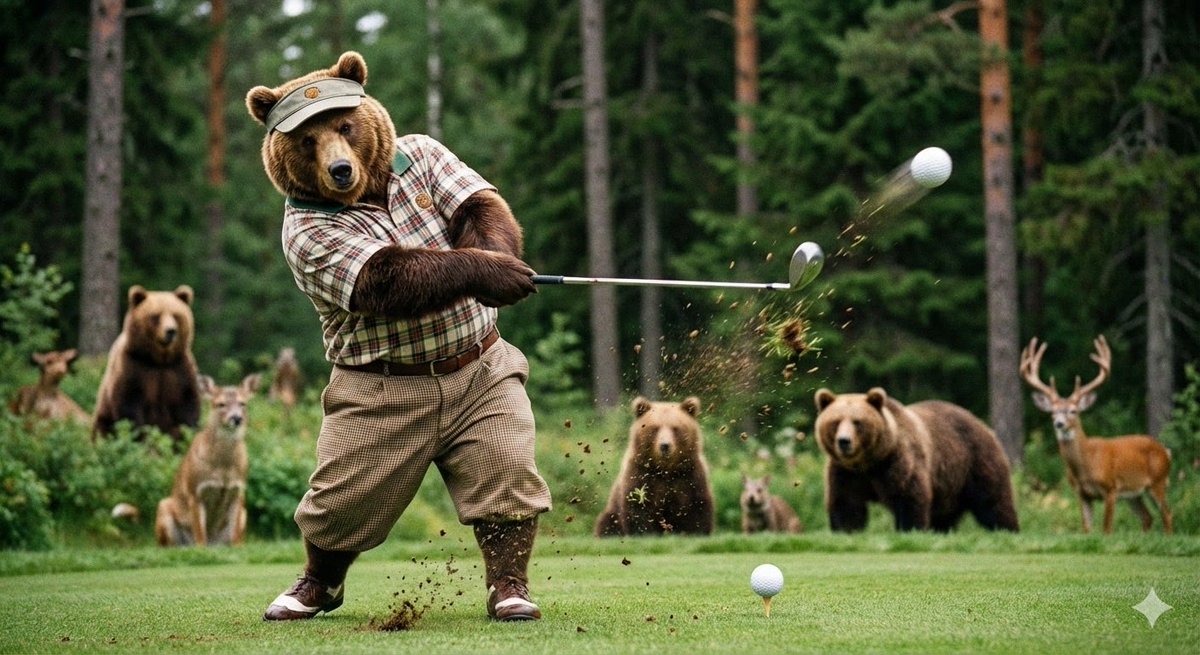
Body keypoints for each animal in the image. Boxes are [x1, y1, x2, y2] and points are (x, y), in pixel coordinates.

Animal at [92, 285, 201, 448]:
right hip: (103, 419)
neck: (158, 360)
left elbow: (187, 404)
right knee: (104, 433)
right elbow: (128, 405)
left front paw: (186, 436)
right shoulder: (133, 366)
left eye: (176, 315)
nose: (171, 331)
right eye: (156, 316)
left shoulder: (179, 369)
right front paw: (139, 439)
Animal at [595, 396, 715, 537]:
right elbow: (638, 508)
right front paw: (643, 533)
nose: (665, 445)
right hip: (612, 514)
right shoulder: (640, 475)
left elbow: (697, 508)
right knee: (607, 524)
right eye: (655, 428)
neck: (665, 470)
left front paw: (695, 532)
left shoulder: (690, 477)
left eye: (675, 428)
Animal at [814, 387, 1019, 533]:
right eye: (836, 421)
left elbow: (909, 498)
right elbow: (846, 504)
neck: (870, 462)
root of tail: (984, 425)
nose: (844, 441)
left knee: (993, 501)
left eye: (857, 422)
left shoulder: (897, 462)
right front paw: (846, 530)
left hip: (976, 461)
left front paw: (910, 530)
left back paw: (1007, 531)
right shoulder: (846, 473)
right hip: (949, 487)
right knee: (944, 517)